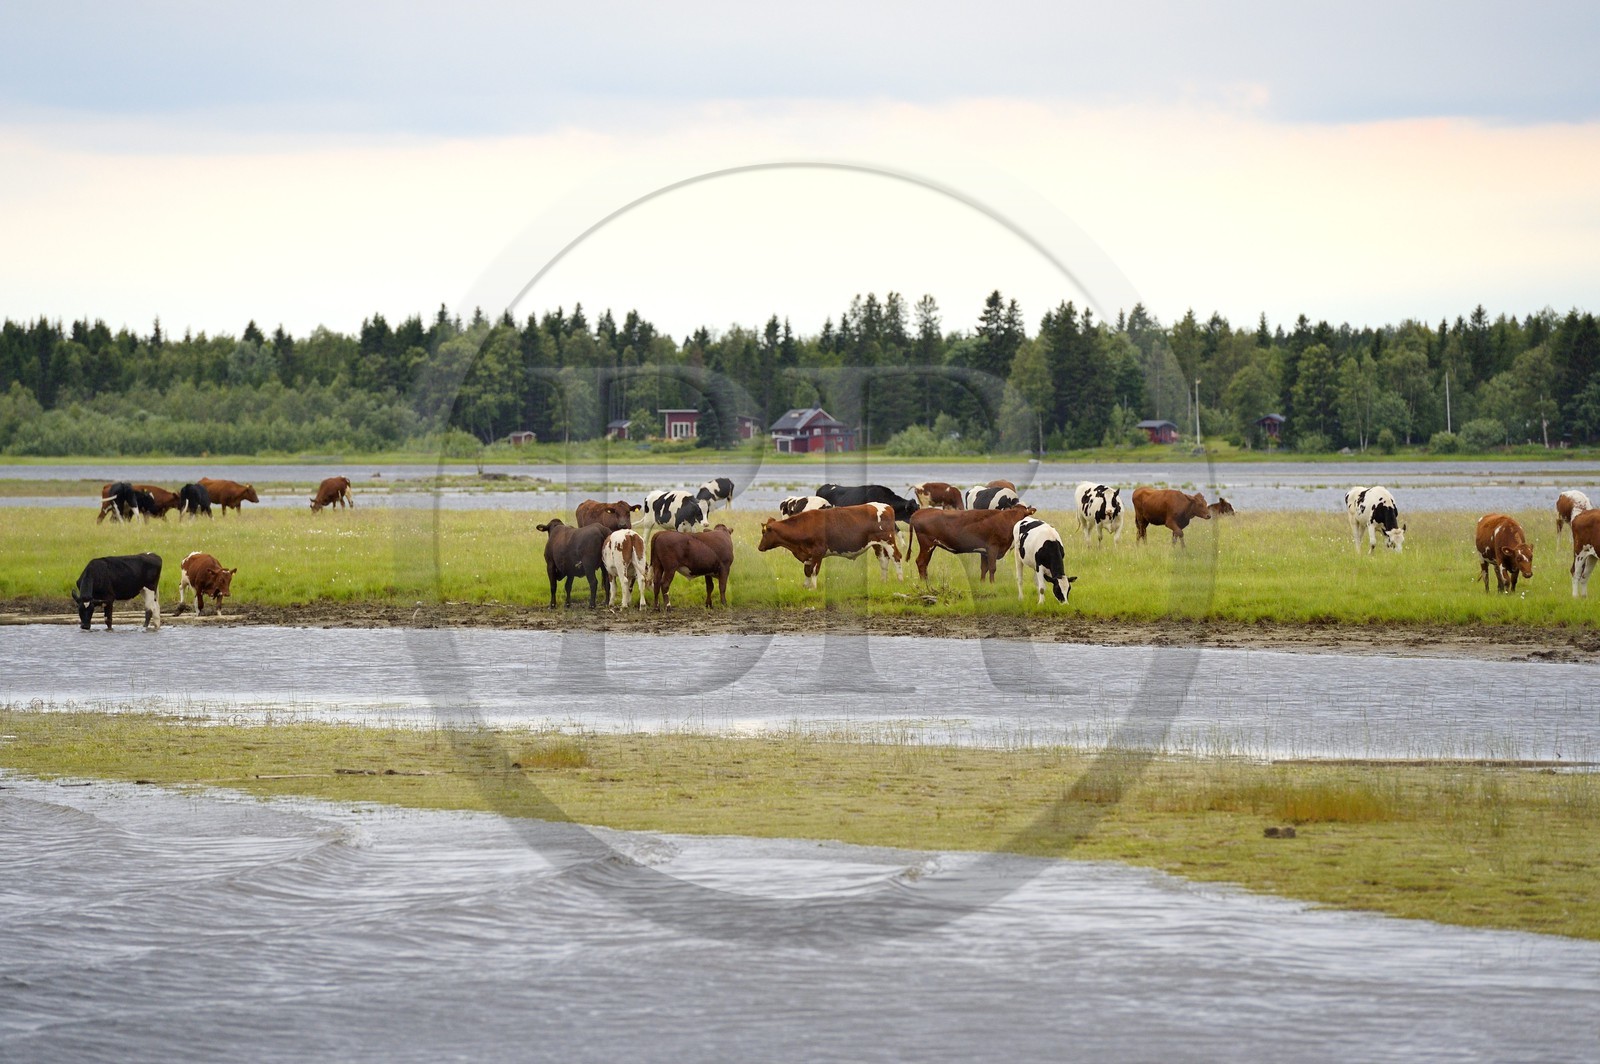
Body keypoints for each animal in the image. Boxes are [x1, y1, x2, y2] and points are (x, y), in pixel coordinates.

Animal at [758, 503, 903, 589]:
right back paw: (883, 581)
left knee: (896, 557)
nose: (759, 547)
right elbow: (807, 571)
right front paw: (805, 587)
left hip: (888, 540)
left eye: (764, 533)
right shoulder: (807, 555)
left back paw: (900, 579)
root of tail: (886, 506)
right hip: (877, 544)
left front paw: (813, 589)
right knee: (883, 560)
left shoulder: (818, 552)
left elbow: (814, 571)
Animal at [908, 505, 1036, 582]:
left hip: (930, 546)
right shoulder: (993, 547)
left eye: (1023, 516)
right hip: (927, 545)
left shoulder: (984, 551)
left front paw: (983, 583)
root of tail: (920, 511)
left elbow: (984, 568)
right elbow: (992, 568)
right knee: (921, 562)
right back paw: (925, 582)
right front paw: (992, 584)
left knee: (924, 563)